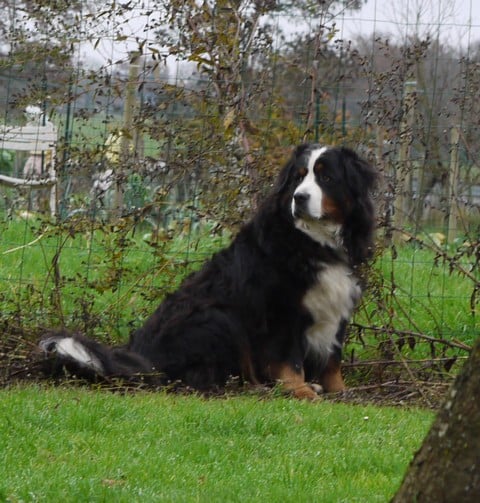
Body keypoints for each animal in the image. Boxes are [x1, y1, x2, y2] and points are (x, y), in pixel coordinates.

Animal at [40, 144, 376, 399]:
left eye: (327, 177)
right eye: (298, 178)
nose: (299, 198)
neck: (314, 242)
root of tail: (147, 360)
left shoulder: (336, 306)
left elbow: (332, 359)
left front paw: (339, 390)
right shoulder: (282, 310)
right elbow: (288, 360)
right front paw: (301, 390)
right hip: (218, 317)